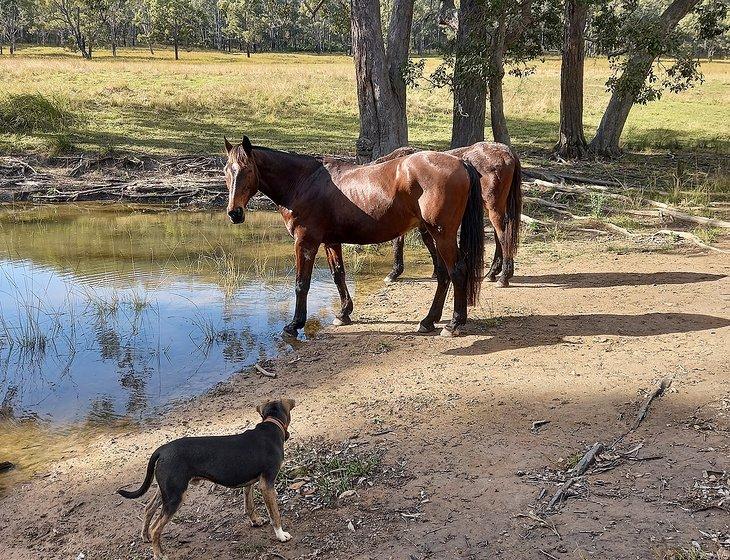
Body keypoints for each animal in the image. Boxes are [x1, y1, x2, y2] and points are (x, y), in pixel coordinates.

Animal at [116, 398, 292, 560]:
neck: (271, 424)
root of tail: (162, 450)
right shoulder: (267, 484)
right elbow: (275, 514)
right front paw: (281, 535)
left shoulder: (249, 483)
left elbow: (249, 506)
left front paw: (255, 521)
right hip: (175, 497)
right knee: (156, 527)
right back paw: (159, 554)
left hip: (167, 491)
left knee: (148, 508)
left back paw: (145, 536)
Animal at [222, 136, 484, 340]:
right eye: (226, 171)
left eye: (247, 170)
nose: (235, 213)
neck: (303, 182)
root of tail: (461, 162)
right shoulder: (331, 242)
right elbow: (338, 275)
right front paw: (343, 313)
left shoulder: (305, 242)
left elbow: (301, 284)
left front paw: (294, 325)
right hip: (431, 233)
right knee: (443, 275)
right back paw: (429, 320)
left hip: (442, 234)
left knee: (457, 271)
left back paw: (454, 323)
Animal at [378, 140, 520, 288]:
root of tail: (506, 152)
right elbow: (428, 241)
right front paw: (436, 270)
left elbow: (398, 243)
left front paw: (394, 272)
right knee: (499, 236)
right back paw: (493, 272)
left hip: (493, 209)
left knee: (503, 237)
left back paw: (504, 277)